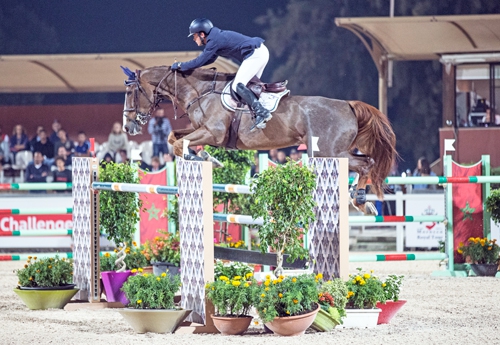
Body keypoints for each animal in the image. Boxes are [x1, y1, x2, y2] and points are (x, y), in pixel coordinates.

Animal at [120, 66, 394, 214]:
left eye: (131, 92)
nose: (128, 126)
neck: (201, 91)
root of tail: (349, 105)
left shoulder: (213, 132)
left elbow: (179, 144)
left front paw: (200, 157)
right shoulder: (199, 129)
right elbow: (174, 136)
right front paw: (205, 156)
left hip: (329, 151)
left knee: (367, 163)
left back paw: (360, 200)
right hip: (334, 152)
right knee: (366, 162)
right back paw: (360, 200)